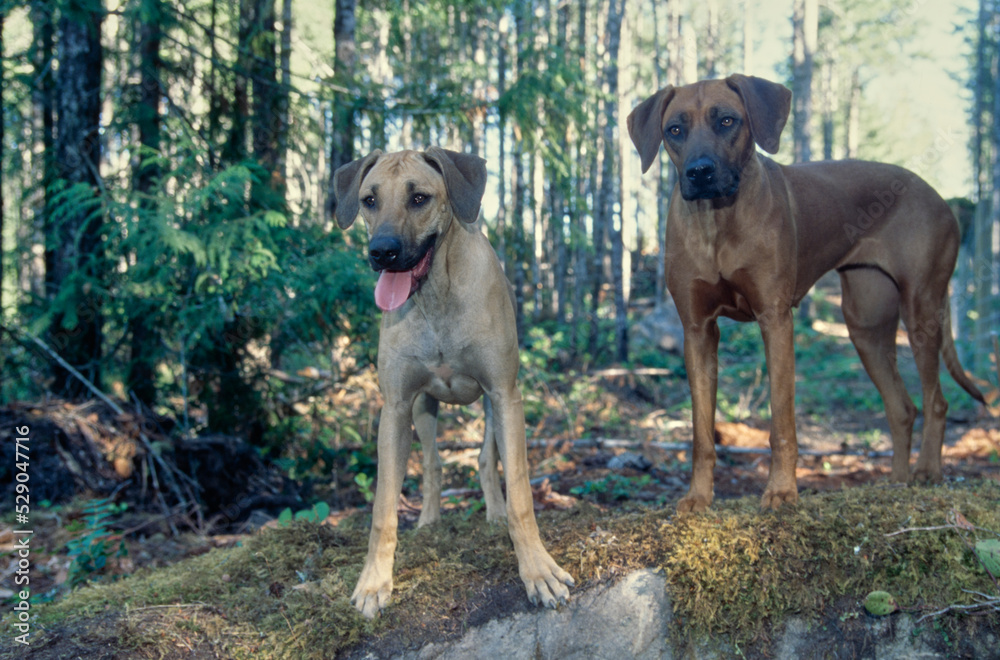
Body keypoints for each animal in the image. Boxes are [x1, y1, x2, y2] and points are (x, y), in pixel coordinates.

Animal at [334, 146, 576, 620]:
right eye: (369, 200)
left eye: (419, 198)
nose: (381, 252)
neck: (436, 298)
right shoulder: (396, 407)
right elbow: (383, 510)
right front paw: (374, 582)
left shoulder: (505, 394)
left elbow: (521, 497)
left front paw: (538, 571)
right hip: (422, 409)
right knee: (432, 463)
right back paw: (430, 520)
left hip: (494, 405)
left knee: (486, 459)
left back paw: (495, 513)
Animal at [628, 76, 980, 510]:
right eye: (674, 130)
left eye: (727, 120)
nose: (699, 172)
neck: (718, 221)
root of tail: (938, 196)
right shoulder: (697, 330)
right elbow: (701, 432)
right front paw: (697, 497)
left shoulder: (775, 320)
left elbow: (781, 422)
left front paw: (781, 491)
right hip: (865, 326)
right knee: (902, 408)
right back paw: (895, 485)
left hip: (922, 308)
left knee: (936, 401)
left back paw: (927, 472)